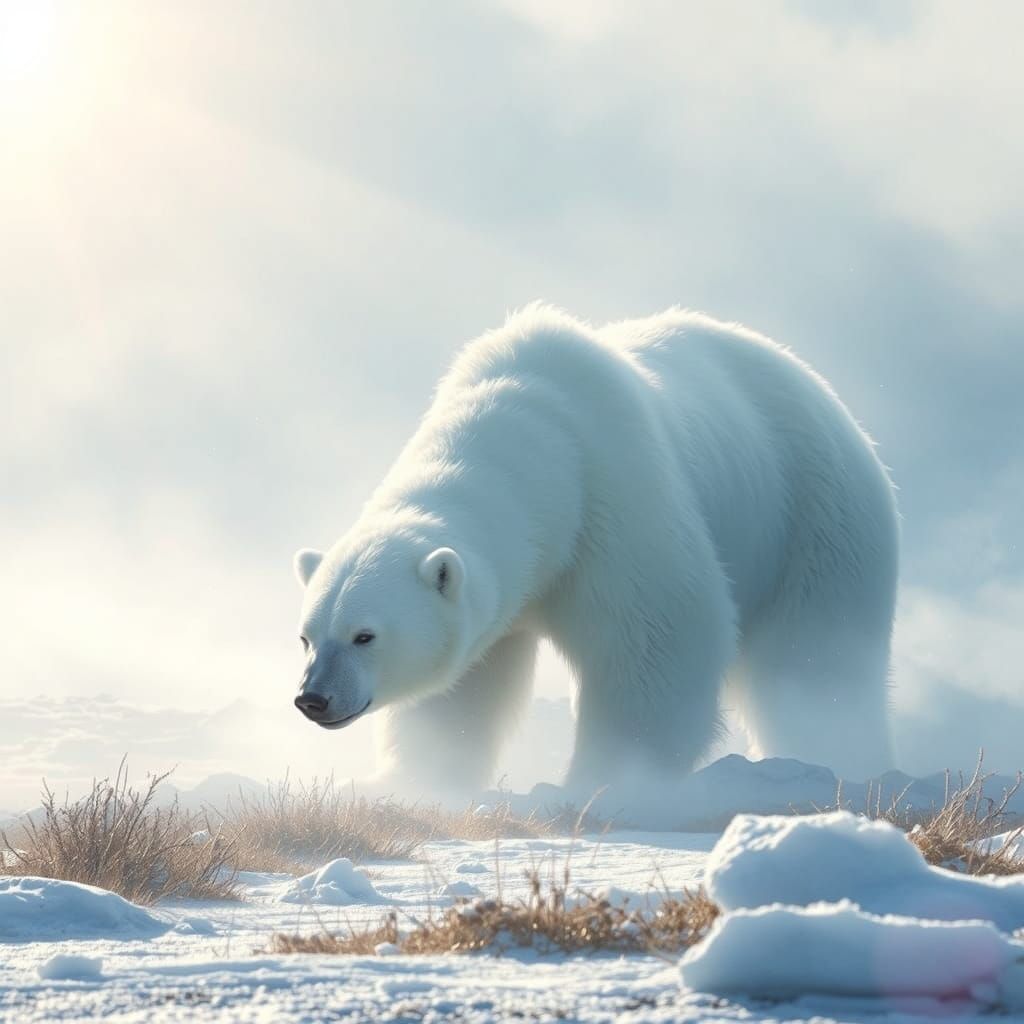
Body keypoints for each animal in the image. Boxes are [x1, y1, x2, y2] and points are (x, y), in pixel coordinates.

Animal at [291, 305, 899, 800]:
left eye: (365, 635)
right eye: (307, 636)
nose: (312, 699)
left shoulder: (611, 503)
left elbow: (658, 640)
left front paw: (610, 778)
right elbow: (463, 684)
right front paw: (410, 780)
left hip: (815, 521)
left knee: (815, 661)